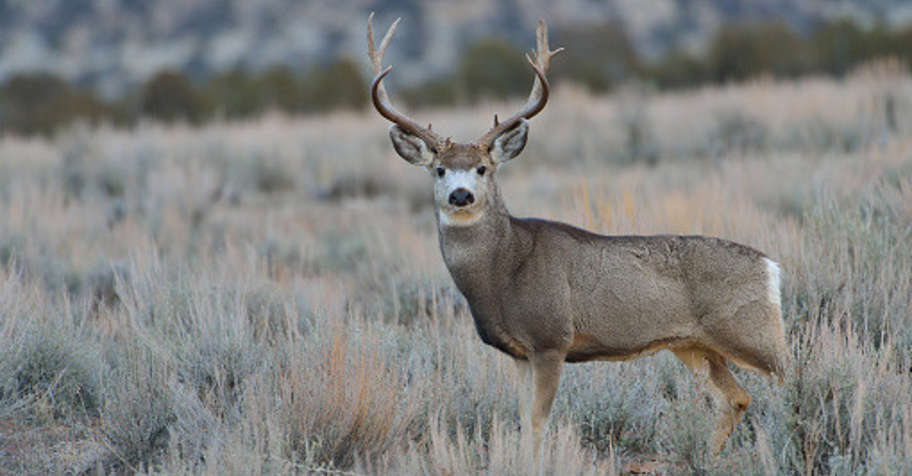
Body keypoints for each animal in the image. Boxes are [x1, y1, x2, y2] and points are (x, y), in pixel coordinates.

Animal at [367, 14, 789, 458]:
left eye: (483, 168)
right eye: (440, 170)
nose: (461, 195)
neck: (505, 270)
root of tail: (771, 267)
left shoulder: (552, 339)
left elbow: (538, 423)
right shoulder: (519, 353)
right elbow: (522, 421)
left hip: (752, 331)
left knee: (787, 379)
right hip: (691, 344)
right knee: (736, 397)